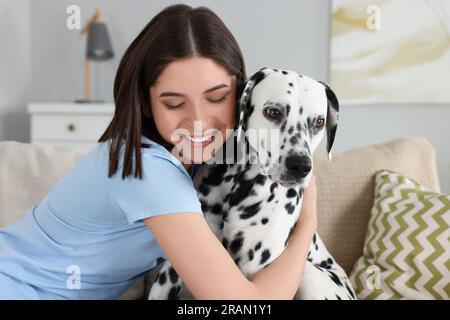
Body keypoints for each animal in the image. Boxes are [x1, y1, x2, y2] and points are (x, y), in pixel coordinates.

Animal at [149, 67, 356, 300]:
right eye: (273, 112)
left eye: (319, 122)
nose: (300, 166)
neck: (237, 185)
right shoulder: (170, 274)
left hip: (309, 274)